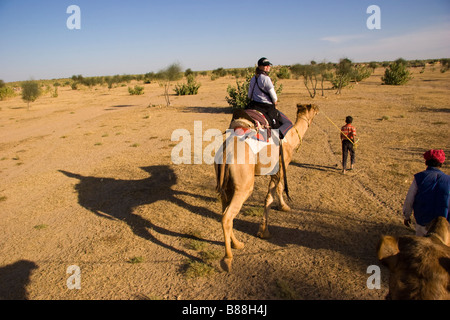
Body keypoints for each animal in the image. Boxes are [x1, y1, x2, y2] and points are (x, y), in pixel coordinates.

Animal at [215, 104, 318, 272]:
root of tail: (225, 152)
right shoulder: (281, 167)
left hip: (226, 185)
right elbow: (273, 194)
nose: (318, 108)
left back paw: (237, 244)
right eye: (313, 108)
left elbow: (274, 192)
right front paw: (265, 230)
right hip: (244, 186)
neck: (291, 139)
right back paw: (228, 259)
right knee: (227, 217)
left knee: (224, 212)